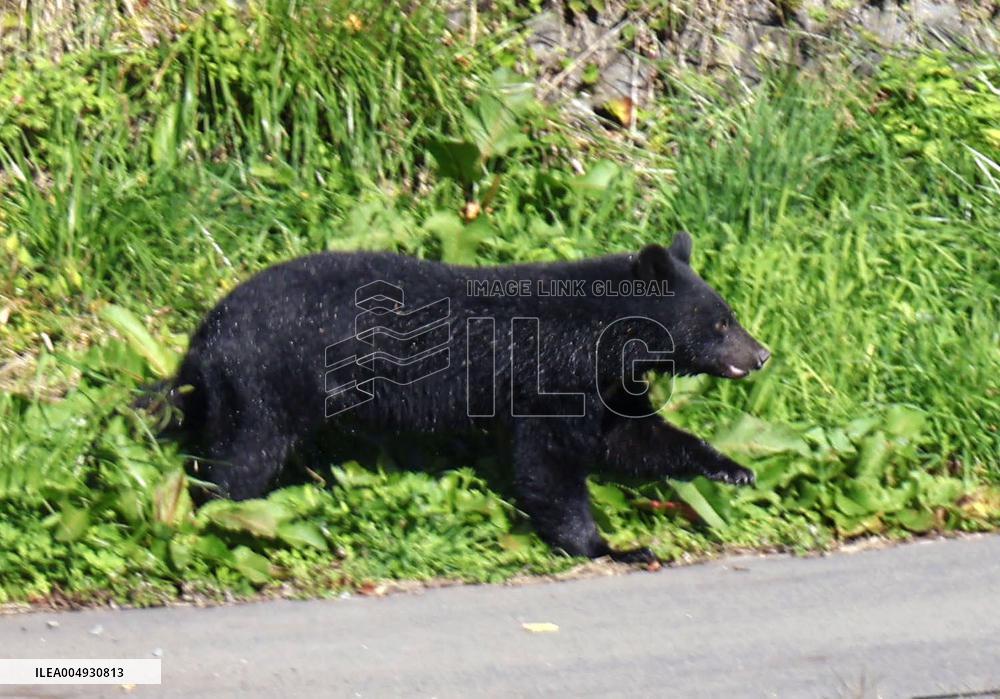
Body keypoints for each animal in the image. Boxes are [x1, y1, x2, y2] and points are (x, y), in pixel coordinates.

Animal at [150, 232, 770, 563]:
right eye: (719, 323)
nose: (761, 353)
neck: (599, 336)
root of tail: (202, 340)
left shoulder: (608, 386)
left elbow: (635, 437)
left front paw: (732, 468)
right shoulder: (546, 381)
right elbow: (548, 467)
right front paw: (608, 547)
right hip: (264, 384)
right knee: (241, 461)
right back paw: (220, 523)